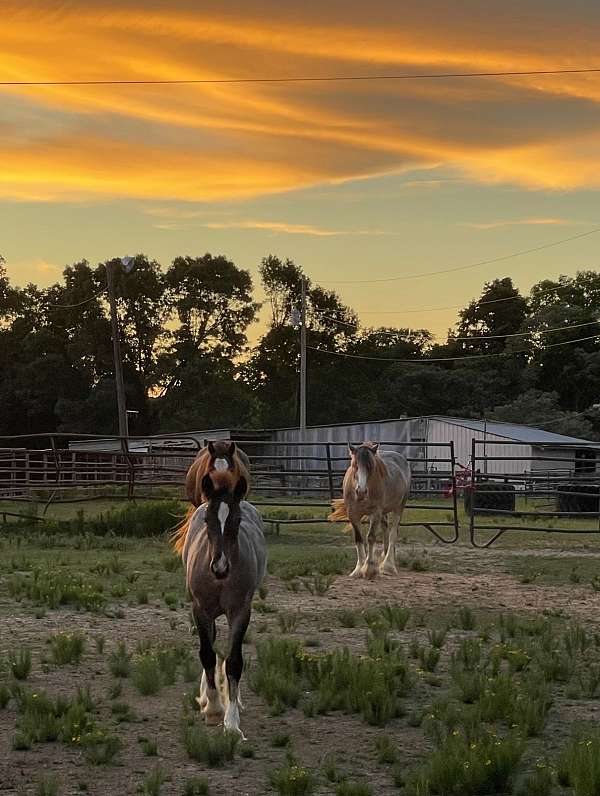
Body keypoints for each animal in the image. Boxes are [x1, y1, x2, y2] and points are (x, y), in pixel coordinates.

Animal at [175, 472, 266, 740]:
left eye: (237, 520)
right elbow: (207, 654)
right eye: (208, 520)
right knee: (211, 645)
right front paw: (214, 708)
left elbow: (234, 661)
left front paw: (232, 721)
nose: (220, 567)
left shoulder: (240, 612)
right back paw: (206, 697)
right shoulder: (200, 610)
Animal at [330, 442, 410, 580]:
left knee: (393, 533)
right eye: (355, 465)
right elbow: (359, 539)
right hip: (384, 512)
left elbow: (371, 537)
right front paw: (358, 569)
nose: (361, 491)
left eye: (370, 466)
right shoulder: (353, 514)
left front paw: (369, 568)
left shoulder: (375, 513)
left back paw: (388, 566)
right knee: (385, 529)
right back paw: (384, 559)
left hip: (399, 507)